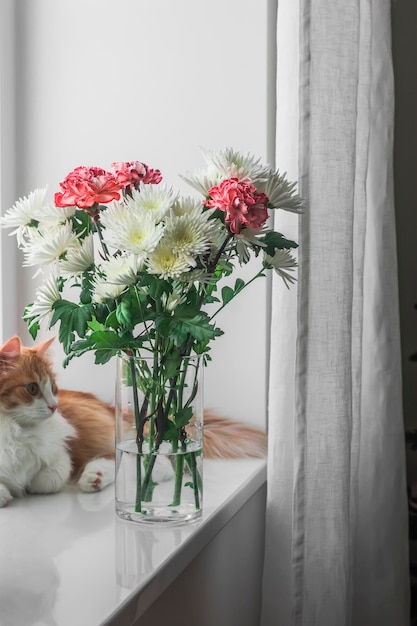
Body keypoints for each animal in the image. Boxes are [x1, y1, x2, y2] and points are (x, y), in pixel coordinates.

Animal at [0, 334, 266, 504]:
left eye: (52, 387)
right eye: (32, 388)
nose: (55, 406)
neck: (14, 431)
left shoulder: (61, 455)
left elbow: (46, 480)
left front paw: (23, 486)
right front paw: (9, 490)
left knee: (150, 462)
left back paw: (97, 477)